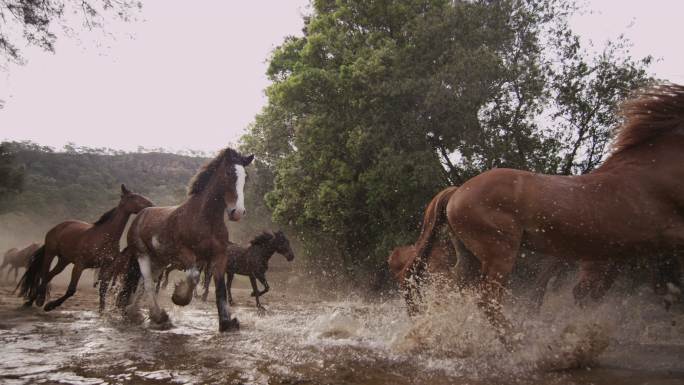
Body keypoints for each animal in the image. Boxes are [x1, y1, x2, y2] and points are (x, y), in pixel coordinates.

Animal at [17, 184, 154, 312]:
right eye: (132, 197)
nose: (151, 204)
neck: (105, 237)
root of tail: (57, 227)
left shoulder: (106, 267)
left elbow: (103, 289)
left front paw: (101, 312)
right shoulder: (79, 265)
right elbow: (71, 290)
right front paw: (50, 305)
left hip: (64, 260)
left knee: (50, 275)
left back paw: (34, 300)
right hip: (50, 254)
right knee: (45, 275)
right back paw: (36, 300)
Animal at [115, 147, 254, 330]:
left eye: (246, 177)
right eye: (229, 172)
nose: (237, 212)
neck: (204, 219)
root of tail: (141, 215)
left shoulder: (219, 256)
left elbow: (220, 288)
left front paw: (226, 323)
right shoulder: (185, 253)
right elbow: (193, 276)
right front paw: (179, 297)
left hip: (159, 260)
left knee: (142, 285)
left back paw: (135, 313)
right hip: (142, 255)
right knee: (148, 284)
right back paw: (158, 316)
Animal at [400, 83, 684, 342]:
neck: (653, 171)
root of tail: (457, 192)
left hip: (470, 256)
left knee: (448, 292)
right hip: (500, 252)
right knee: (487, 300)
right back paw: (518, 342)